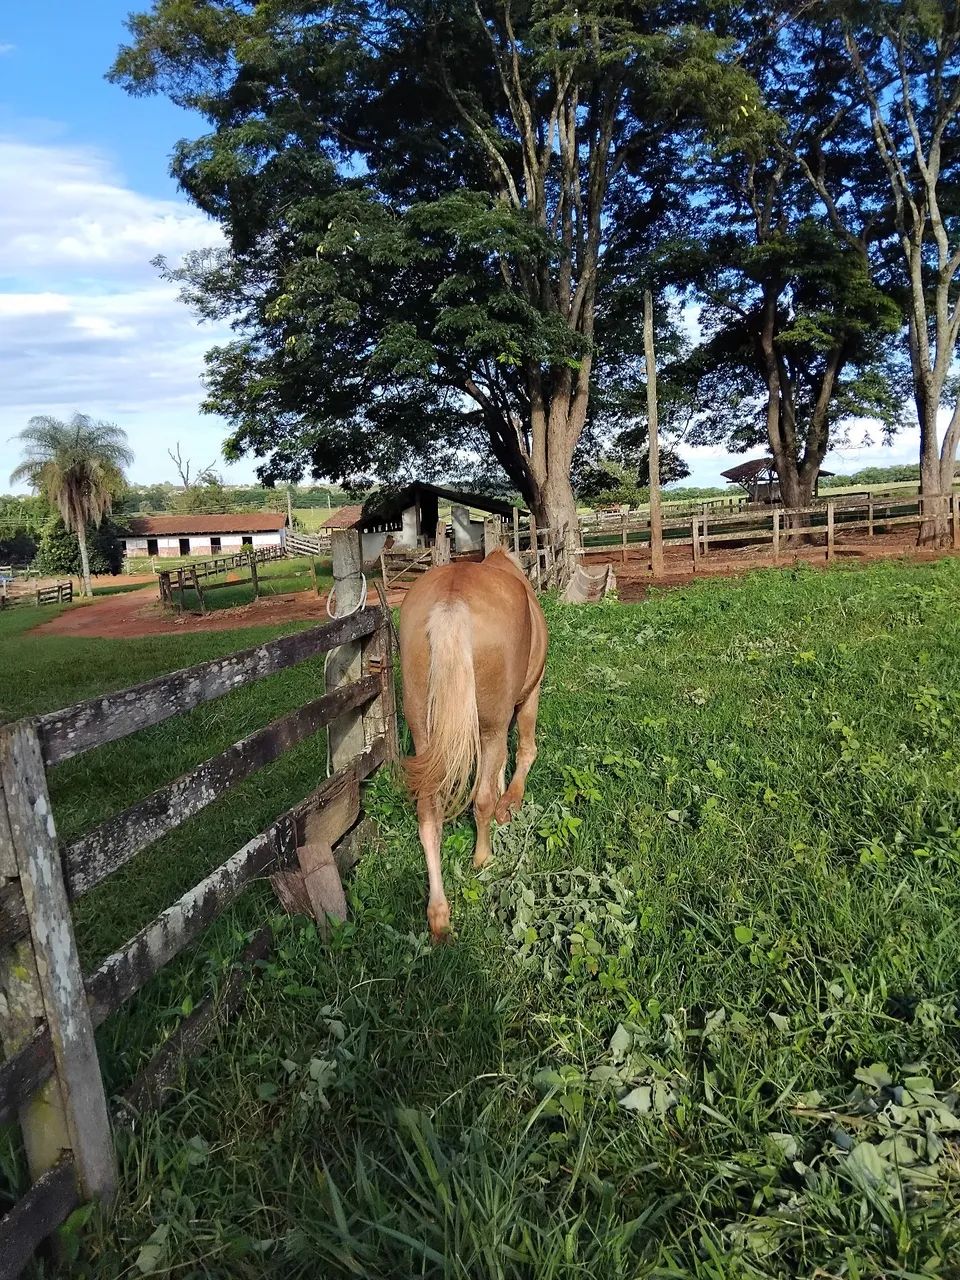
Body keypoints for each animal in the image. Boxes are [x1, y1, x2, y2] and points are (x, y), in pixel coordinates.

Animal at [399, 546, 548, 941]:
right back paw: (484, 858)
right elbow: (524, 752)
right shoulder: (529, 696)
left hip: (424, 734)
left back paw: (439, 913)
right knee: (481, 800)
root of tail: (452, 602)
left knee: (428, 815)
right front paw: (510, 804)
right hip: (492, 723)